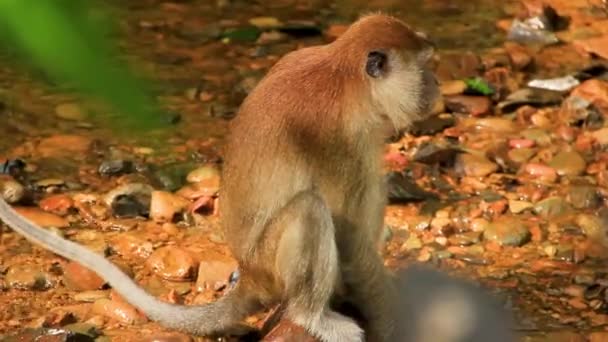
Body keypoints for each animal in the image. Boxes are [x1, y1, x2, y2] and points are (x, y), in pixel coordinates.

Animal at [0, 13, 436, 342]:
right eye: (425, 67)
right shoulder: (338, 137)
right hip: (271, 263)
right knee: (309, 210)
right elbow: (349, 240)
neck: (346, 78)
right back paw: (313, 316)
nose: (433, 83)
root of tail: (252, 277)